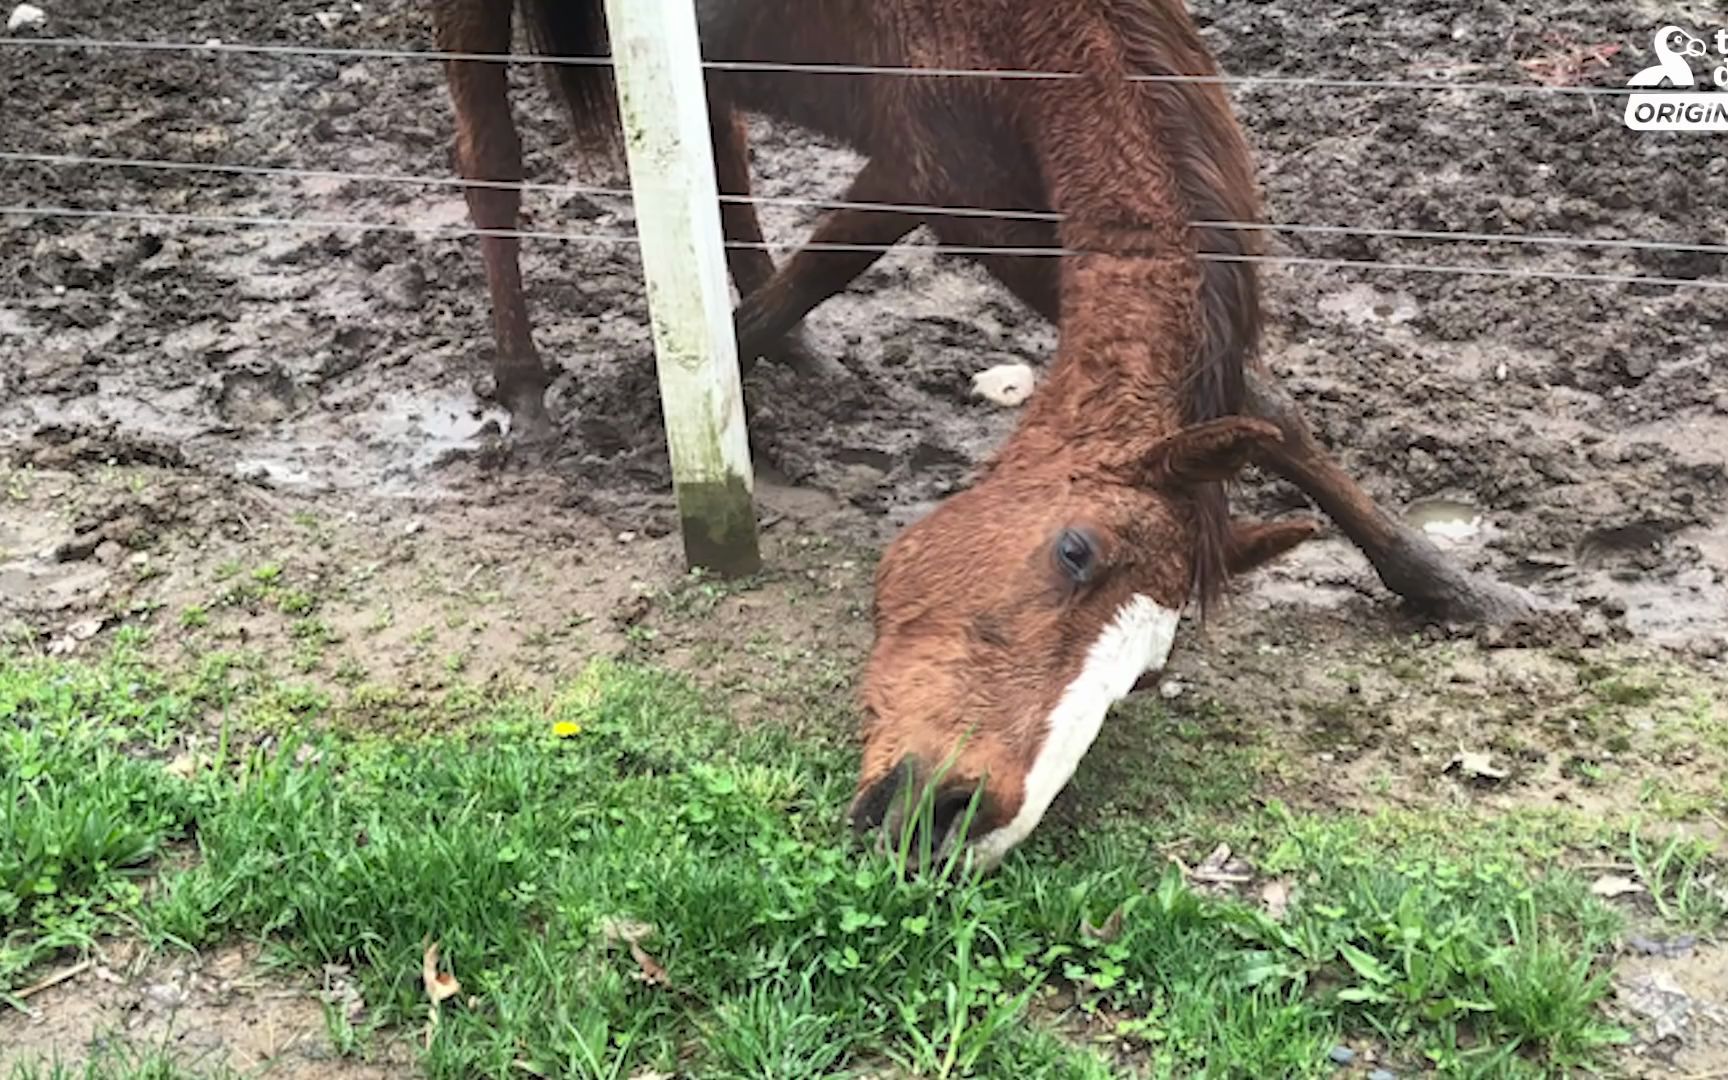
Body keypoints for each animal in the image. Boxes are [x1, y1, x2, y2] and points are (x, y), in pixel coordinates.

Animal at [438, 0, 1534, 864]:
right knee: (487, 156)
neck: (1021, 31)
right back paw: (527, 390)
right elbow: (810, 278)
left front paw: (1451, 585)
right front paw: (650, 392)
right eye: (1074, 551)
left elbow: (1270, 408)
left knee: (718, 145)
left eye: (1145, 676)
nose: (957, 821)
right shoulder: (947, 185)